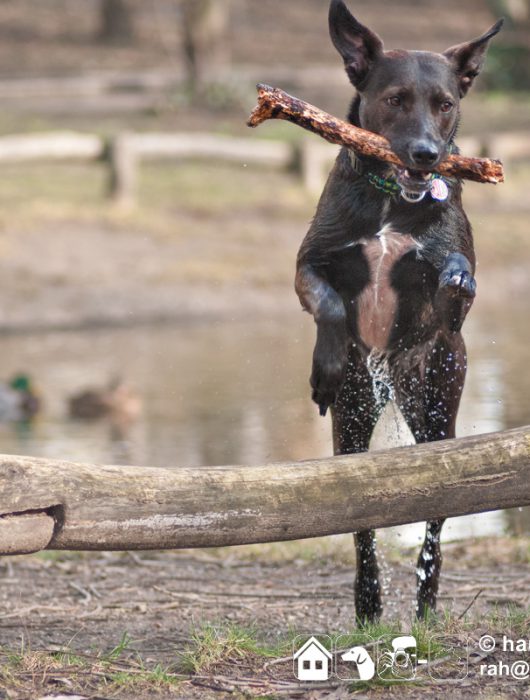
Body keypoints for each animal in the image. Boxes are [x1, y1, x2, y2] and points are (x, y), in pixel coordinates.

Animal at [294, 0, 502, 624]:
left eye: (445, 104)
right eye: (393, 99)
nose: (427, 154)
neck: (391, 198)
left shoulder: (446, 306)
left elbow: (455, 276)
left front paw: (457, 278)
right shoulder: (308, 264)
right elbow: (330, 304)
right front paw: (326, 364)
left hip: (437, 407)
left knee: (436, 511)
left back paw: (426, 602)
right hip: (353, 418)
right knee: (360, 516)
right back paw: (368, 601)